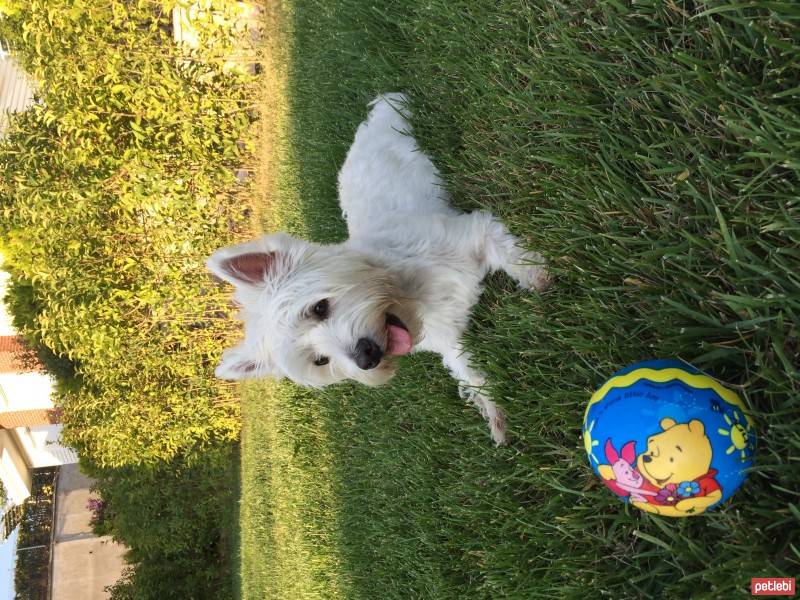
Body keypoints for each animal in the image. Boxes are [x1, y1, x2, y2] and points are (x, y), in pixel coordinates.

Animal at [206, 92, 548, 440]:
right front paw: (494, 413)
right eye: (320, 360)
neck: (410, 292)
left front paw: (537, 276)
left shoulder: (471, 234)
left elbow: (510, 254)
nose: (366, 357)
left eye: (319, 308)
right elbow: (467, 371)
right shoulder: (446, 339)